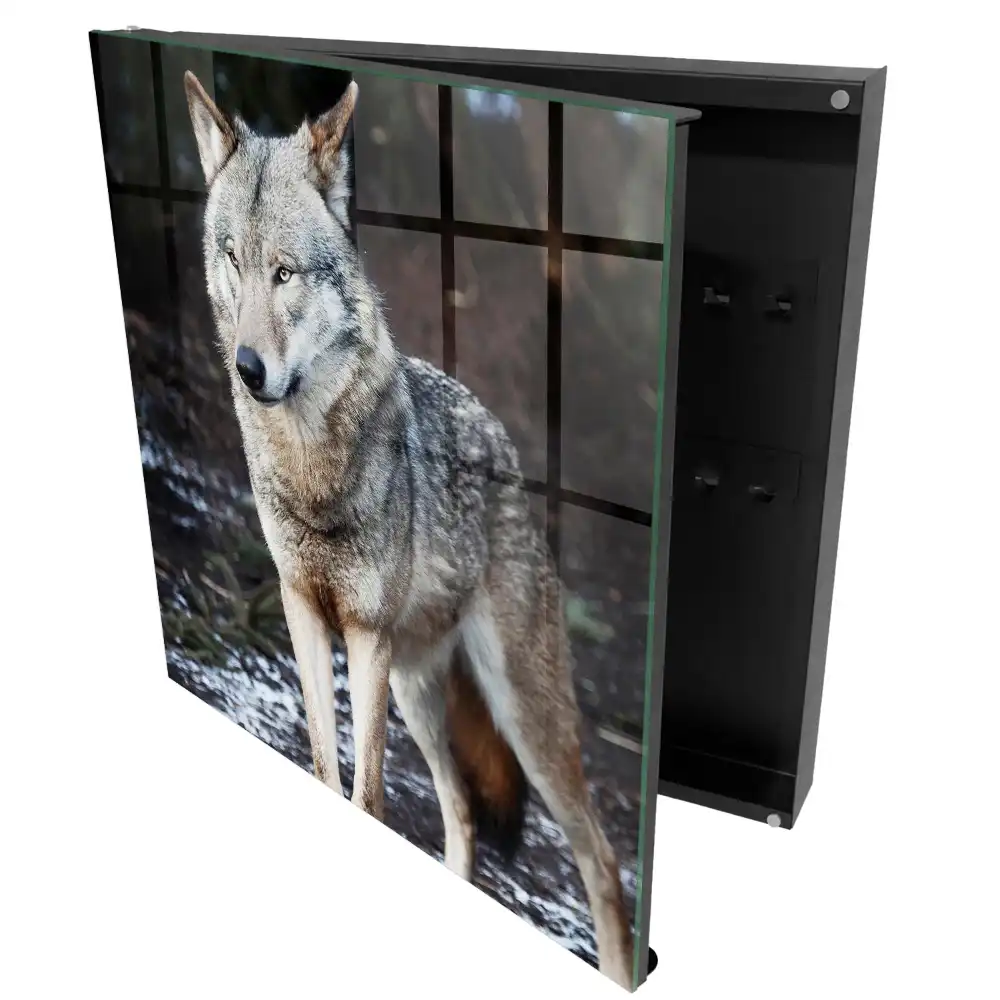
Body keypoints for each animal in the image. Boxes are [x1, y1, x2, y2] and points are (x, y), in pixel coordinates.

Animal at [184, 71, 634, 988]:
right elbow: (330, 772)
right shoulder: (305, 615)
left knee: (602, 862)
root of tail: (504, 446)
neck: (312, 466)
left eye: (286, 272)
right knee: (461, 814)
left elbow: (368, 796)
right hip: (425, 696)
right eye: (234, 261)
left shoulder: (363, 634)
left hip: (521, 716)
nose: (247, 370)